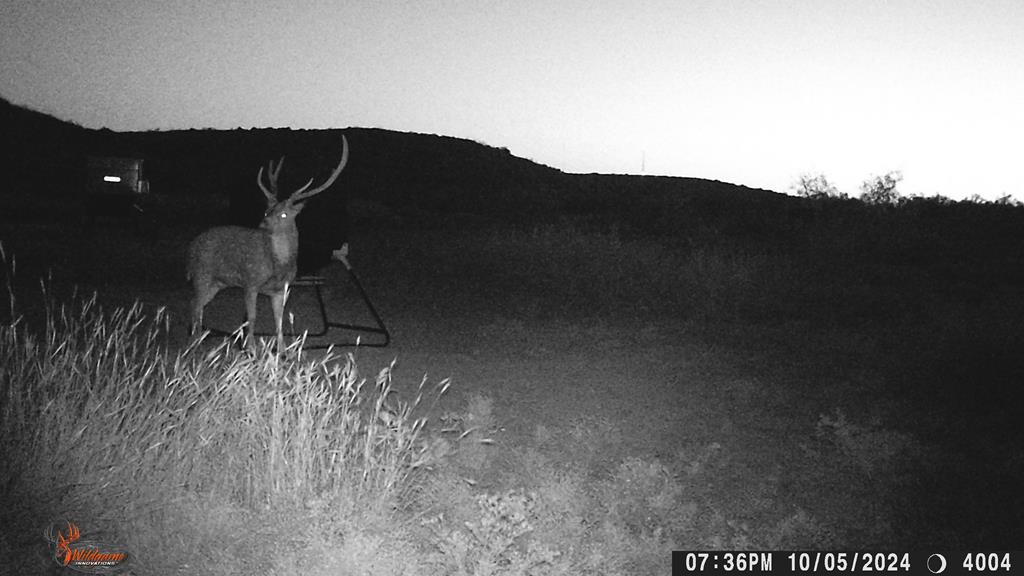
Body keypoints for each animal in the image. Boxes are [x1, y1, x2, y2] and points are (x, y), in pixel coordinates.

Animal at [188, 136, 352, 348]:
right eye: (267, 211)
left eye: (283, 214)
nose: (262, 224)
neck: (278, 266)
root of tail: (190, 248)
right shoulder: (250, 282)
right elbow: (252, 318)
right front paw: (250, 349)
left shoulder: (281, 290)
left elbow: (279, 322)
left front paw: (282, 351)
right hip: (202, 274)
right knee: (194, 304)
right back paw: (194, 340)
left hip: (217, 283)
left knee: (197, 305)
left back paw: (197, 337)